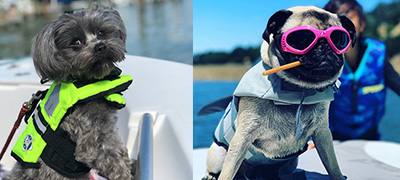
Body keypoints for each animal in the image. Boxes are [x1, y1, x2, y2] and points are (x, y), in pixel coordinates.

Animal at [1, 7, 136, 180]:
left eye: (101, 32)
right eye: (76, 42)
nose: (100, 46)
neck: (84, 80)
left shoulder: (107, 128)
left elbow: (118, 148)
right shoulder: (90, 138)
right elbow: (111, 160)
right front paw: (125, 174)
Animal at [205, 5, 354, 180]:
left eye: (339, 39)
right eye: (302, 40)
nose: (324, 46)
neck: (297, 91)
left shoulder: (322, 134)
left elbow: (332, 164)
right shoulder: (242, 137)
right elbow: (227, 173)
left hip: (291, 163)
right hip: (218, 154)